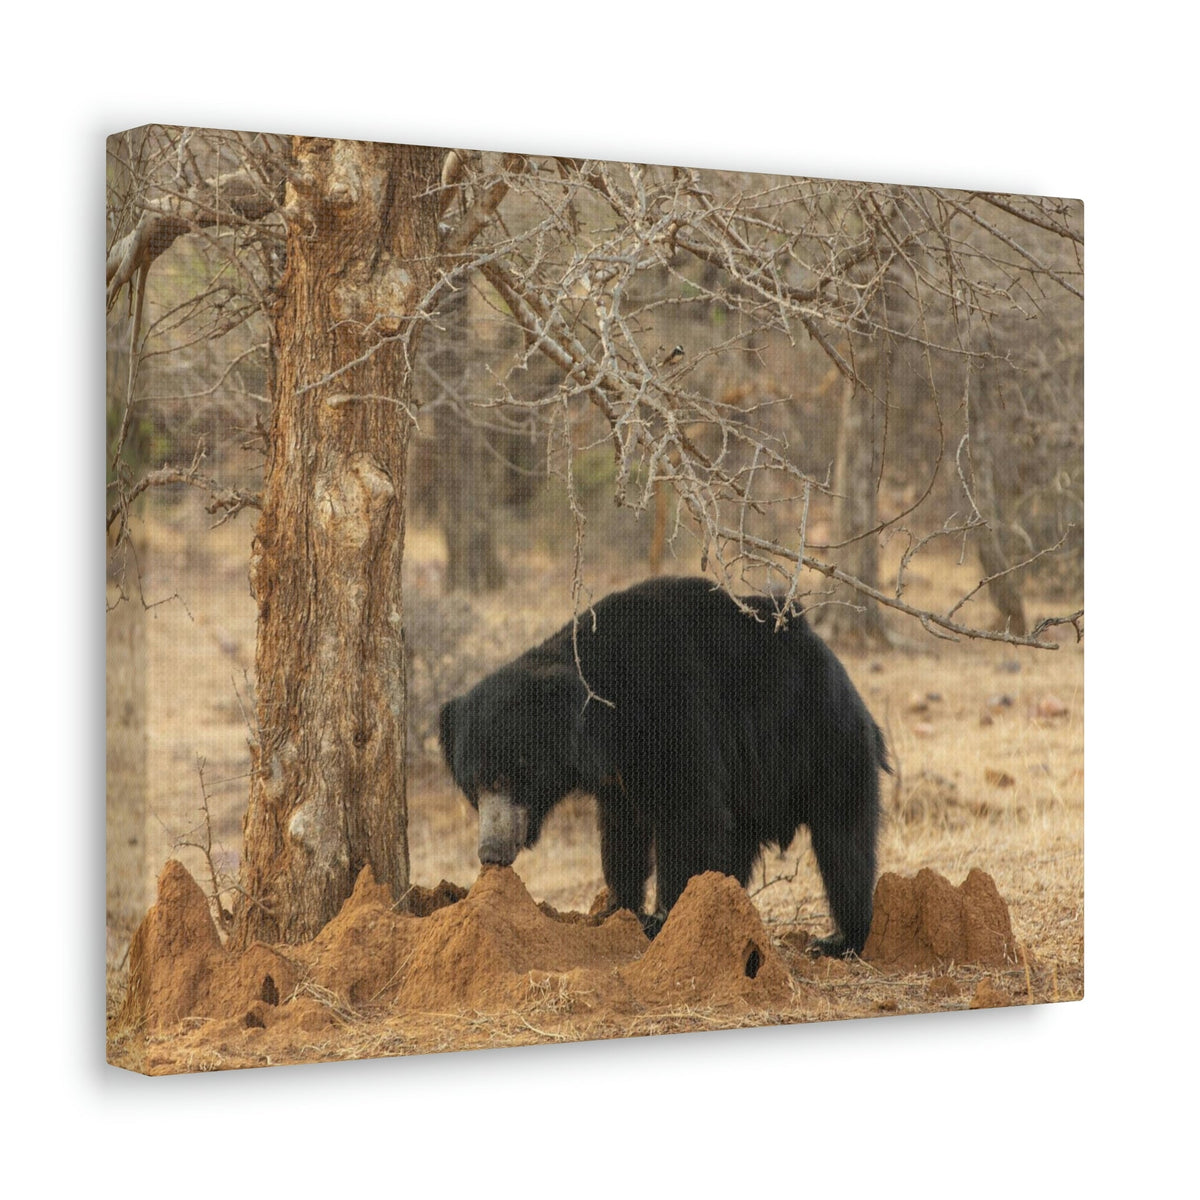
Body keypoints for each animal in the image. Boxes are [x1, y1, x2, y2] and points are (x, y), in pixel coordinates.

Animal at [438, 576, 889, 956]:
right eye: (473, 787)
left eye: (510, 775)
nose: (491, 852)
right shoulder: (616, 774)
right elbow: (622, 831)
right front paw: (616, 909)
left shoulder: (671, 712)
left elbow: (689, 813)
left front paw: (665, 920)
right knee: (742, 839)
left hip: (822, 744)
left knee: (843, 841)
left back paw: (839, 940)